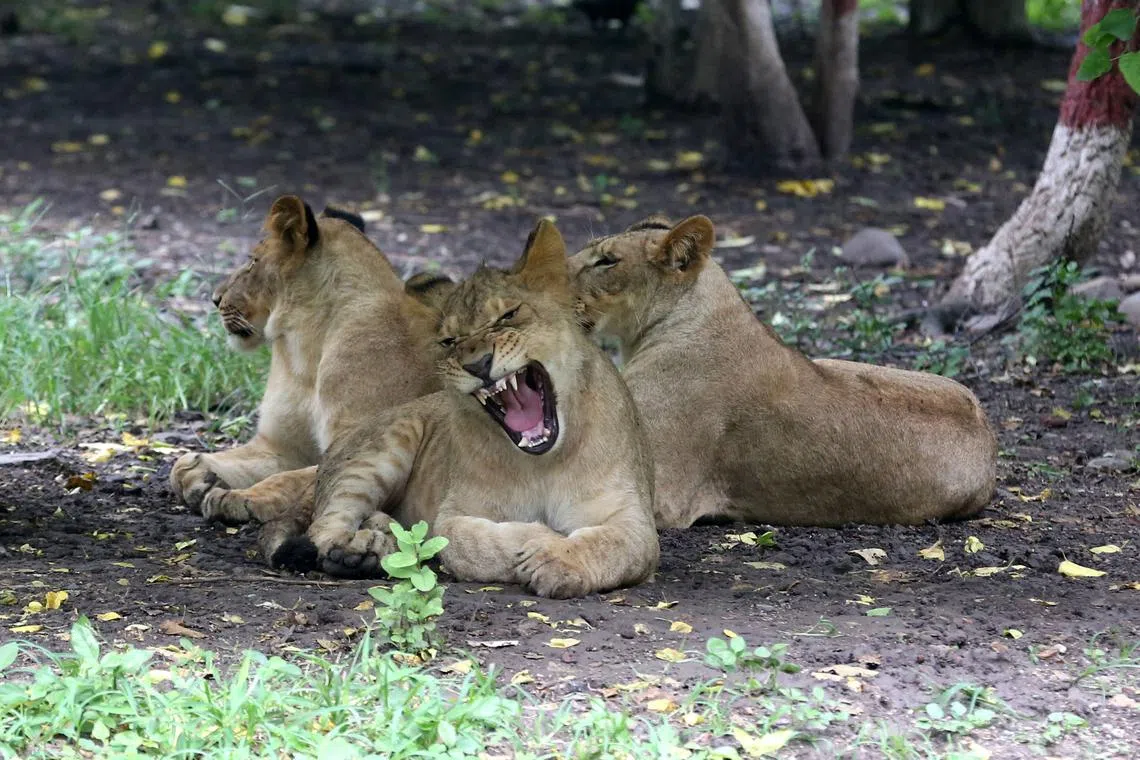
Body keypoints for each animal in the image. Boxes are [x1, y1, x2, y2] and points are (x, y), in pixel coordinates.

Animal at [169, 195, 443, 533]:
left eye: (253, 261)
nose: (215, 299)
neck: (308, 350)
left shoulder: (364, 443)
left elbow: (290, 479)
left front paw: (241, 497)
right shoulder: (279, 446)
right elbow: (183, 464)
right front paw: (201, 474)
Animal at [270, 219, 659, 599]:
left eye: (508, 315)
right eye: (449, 341)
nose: (478, 364)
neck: (542, 463)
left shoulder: (634, 520)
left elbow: (611, 545)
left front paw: (558, 561)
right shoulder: (454, 516)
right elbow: (481, 542)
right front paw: (544, 541)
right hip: (380, 450)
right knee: (323, 526)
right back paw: (355, 553)